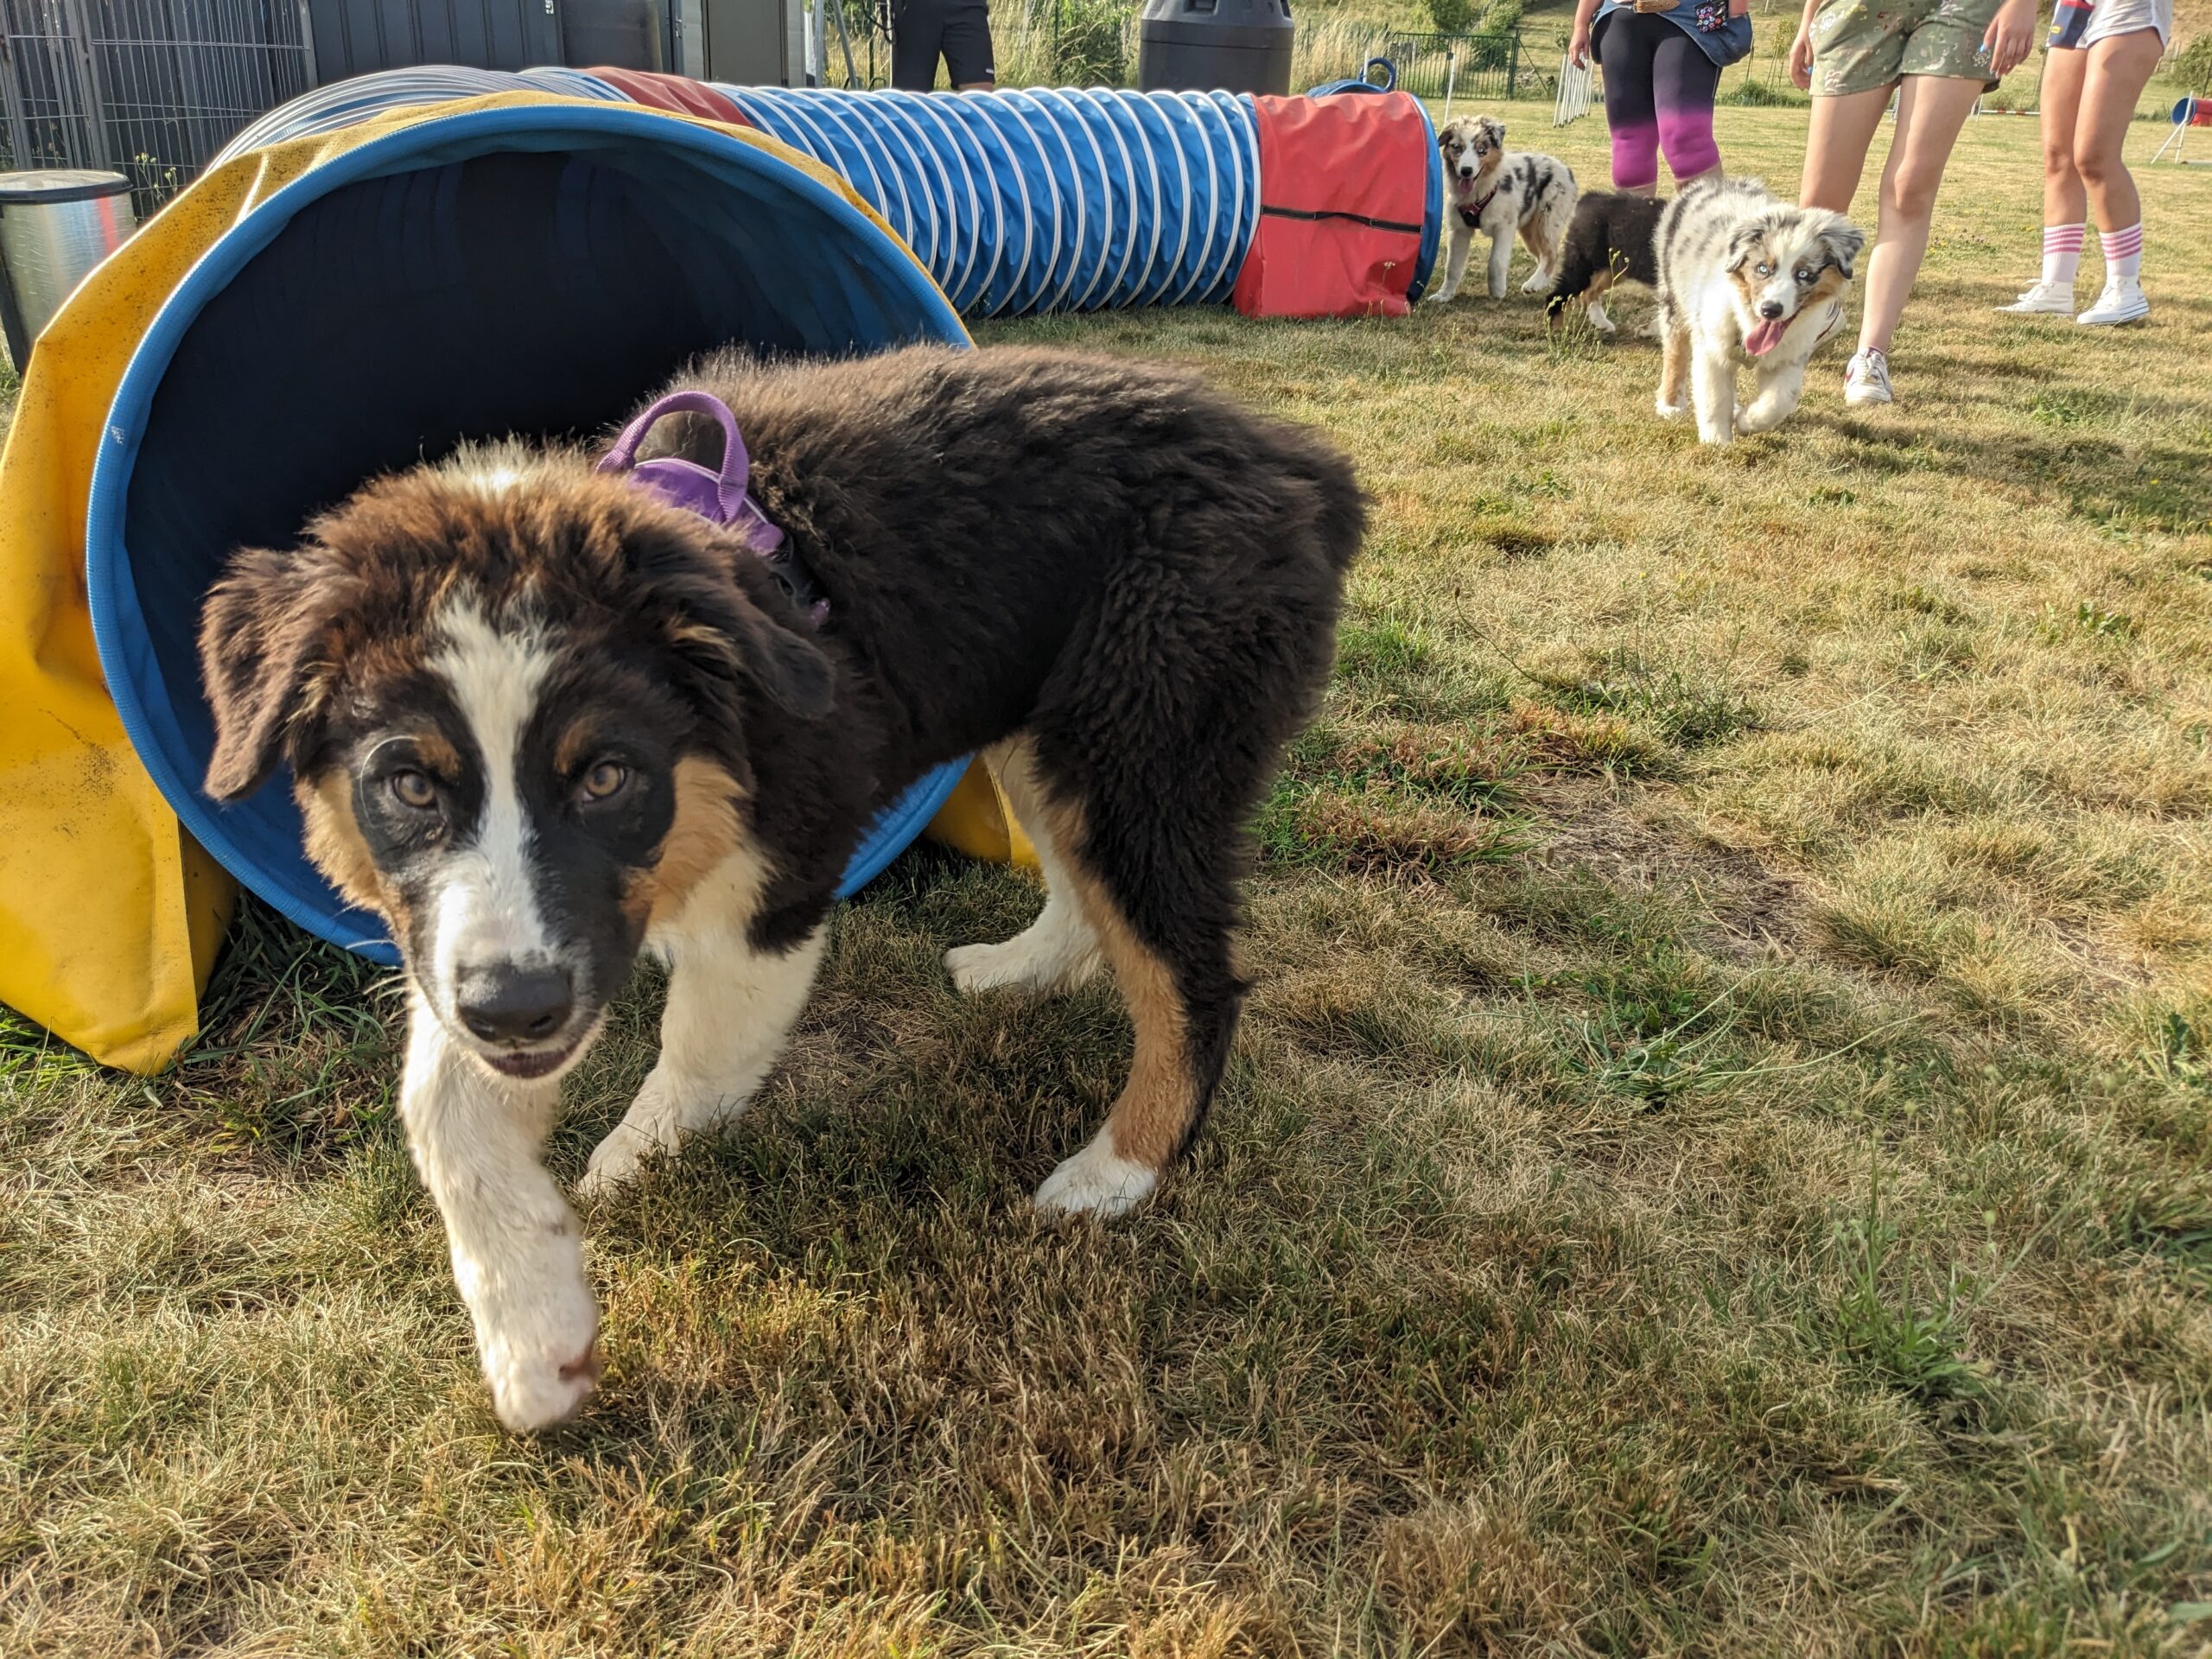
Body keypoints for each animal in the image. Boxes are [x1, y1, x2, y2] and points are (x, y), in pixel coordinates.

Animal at [194, 346, 1362, 1433]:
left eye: (607, 776)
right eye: (409, 783)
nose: (516, 1010)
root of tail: (1298, 461)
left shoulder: (777, 879)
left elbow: (699, 1048)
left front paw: (631, 1164)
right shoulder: (465, 944)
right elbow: (441, 1105)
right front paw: (535, 1345)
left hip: (1143, 738)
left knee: (1188, 979)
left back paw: (1113, 1171)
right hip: (1051, 729)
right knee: (1085, 896)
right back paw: (1016, 972)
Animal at [1433, 113, 1574, 305]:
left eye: (1482, 150)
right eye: (1457, 148)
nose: (1466, 171)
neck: (1480, 191)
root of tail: (1566, 170)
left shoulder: (1504, 227)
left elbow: (1496, 261)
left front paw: (1497, 290)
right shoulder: (1459, 230)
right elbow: (1452, 266)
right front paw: (1444, 295)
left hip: (1547, 221)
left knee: (1551, 254)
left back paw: (1533, 284)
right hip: (1529, 231)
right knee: (1542, 256)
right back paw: (1540, 283)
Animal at [1548, 188, 1663, 338]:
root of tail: (1590, 197)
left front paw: (1646, 330)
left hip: (1613, 269)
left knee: (1589, 293)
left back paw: (1602, 324)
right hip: (1584, 265)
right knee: (1557, 295)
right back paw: (1556, 329)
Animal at [1654, 179, 1858, 444]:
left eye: (1804, 274)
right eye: (1762, 268)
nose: (1770, 310)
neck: (1748, 320)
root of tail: (1710, 182)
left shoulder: (1790, 356)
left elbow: (1779, 401)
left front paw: (1745, 422)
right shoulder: (1711, 346)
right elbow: (1714, 396)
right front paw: (1717, 441)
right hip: (1673, 294)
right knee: (1675, 349)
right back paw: (1671, 403)